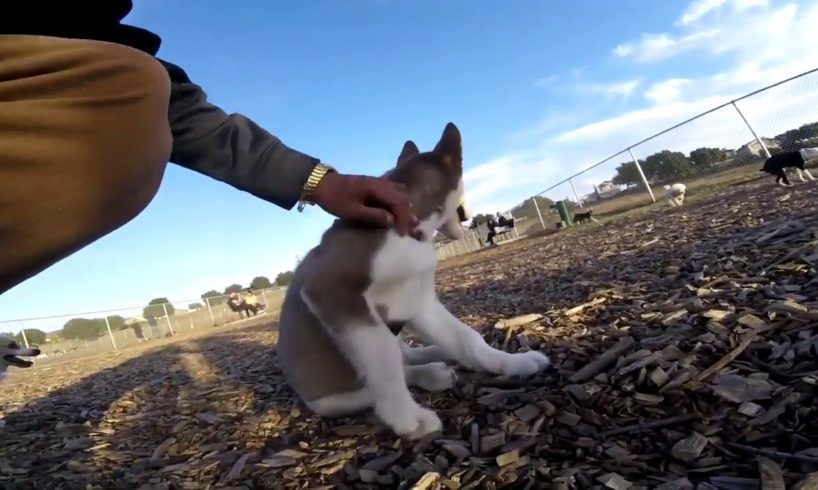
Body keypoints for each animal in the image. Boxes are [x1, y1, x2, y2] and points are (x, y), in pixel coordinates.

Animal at [276, 122, 548, 440]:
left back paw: (435, 354)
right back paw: (429, 374)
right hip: (334, 399)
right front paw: (407, 418)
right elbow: (384, 361)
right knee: (389, 374)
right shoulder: (334, 294)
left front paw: (512, 363)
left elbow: (467, 338)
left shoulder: (419, 302)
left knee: (406, 355)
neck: (405, 231)